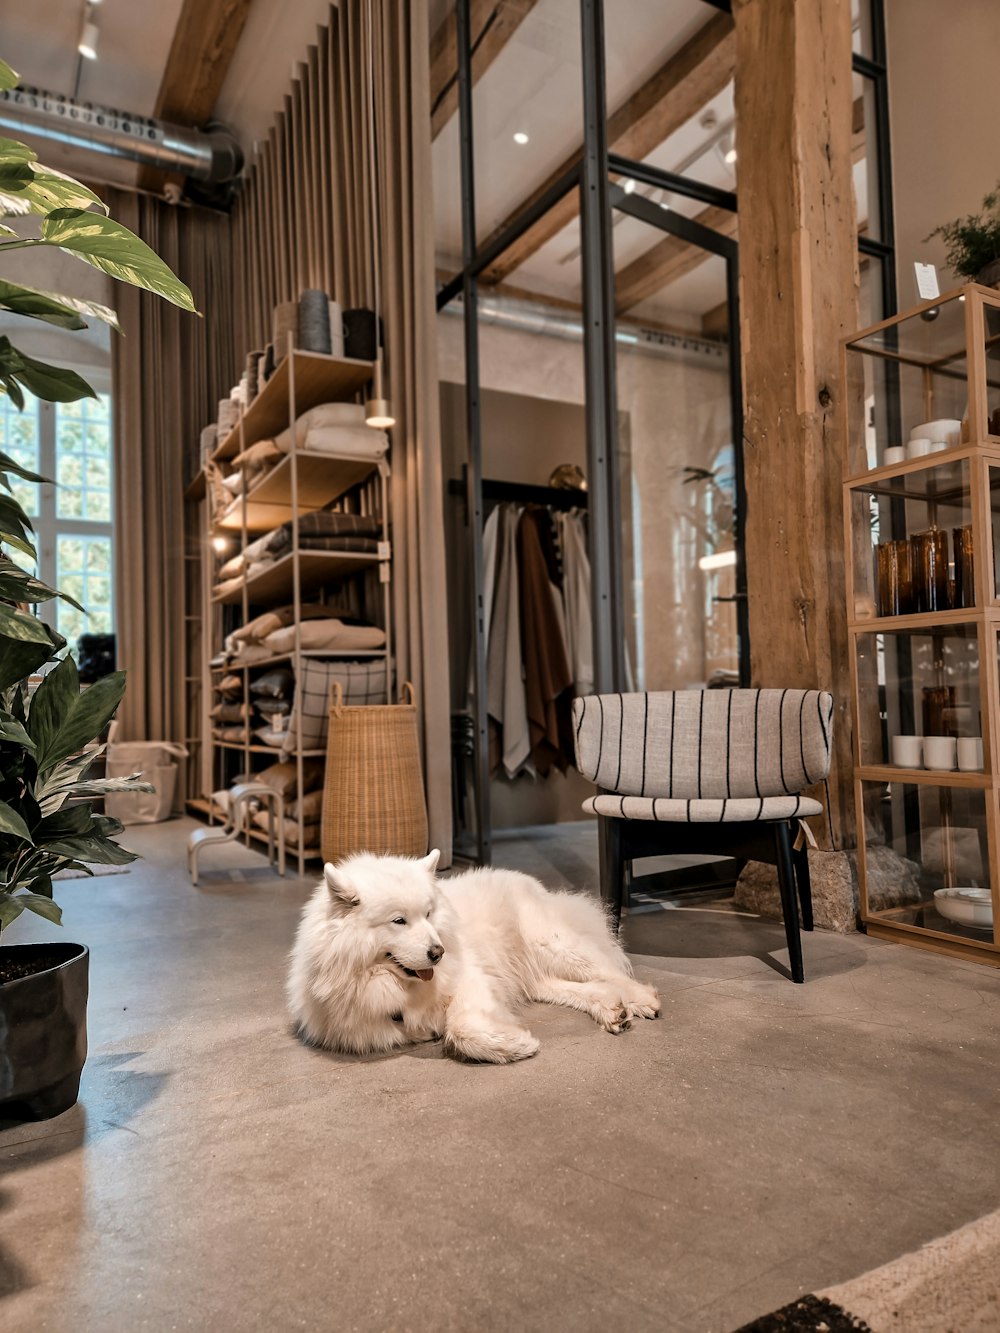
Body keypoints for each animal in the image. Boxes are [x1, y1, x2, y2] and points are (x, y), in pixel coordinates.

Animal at [285, 853, 661, 1061]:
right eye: (399, 921)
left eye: (428, 914)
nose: (438, 952)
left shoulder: (470, 980)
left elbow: (462, 1027)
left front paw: (514, 1046)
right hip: (534, 976)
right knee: (580, 987)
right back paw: (611, 1009)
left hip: (552, 944)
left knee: (609, 970)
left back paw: (641, 999)